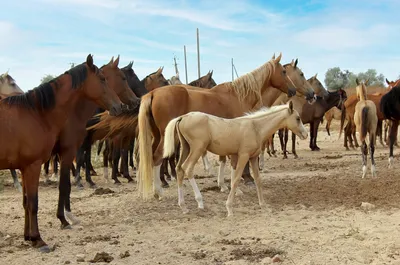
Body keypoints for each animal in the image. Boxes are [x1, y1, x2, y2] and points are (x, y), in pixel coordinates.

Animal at [0, 54, 122, 253]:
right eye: (102, 79)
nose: (119, 106)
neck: (36, 113)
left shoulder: (24, 168)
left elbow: (26, 202)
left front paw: (28, 237)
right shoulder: (33, 166)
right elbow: (33, 203)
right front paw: (38, 240)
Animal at [138, 52, 316, 199]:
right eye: (297, 73)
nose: (312, 94)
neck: (240, 95)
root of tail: (153, 93)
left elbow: (224, 159)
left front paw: (223, 185)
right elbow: (235, 162)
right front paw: (243, 181)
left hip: (158, 135)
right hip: (166, 137)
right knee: (157, 157)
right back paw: (159, 192)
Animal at [162, 102, 306, 216]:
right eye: (298, 118)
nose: (305, 134)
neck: (255, 127)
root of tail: (183, 117)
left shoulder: (252, 158)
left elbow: (258, 180)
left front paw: (263, 206)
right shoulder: (244, 156)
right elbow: (236, 180)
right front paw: (229, 209)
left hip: (186, 148)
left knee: (179, 169)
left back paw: (183, 207)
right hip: (197, 149)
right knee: (187, 169)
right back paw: (200, 201)